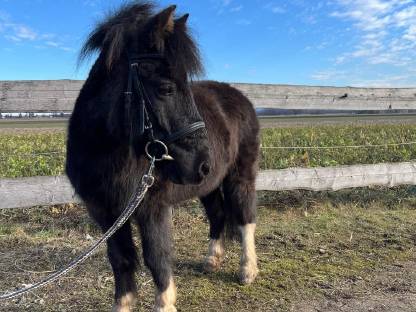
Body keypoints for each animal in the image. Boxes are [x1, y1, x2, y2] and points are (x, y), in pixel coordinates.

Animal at [66, 1, 258, 310]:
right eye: (165, 88)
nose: (203, 163)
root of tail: (239, 97)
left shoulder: (152, 207)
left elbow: (157, 259)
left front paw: (165, 303)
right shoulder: (106, 213)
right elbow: (121, 260)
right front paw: (123, 304)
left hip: (240, 175)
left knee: (245, 217)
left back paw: (248, 270)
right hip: (208, 186)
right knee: (218, 214)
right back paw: (212, 260)